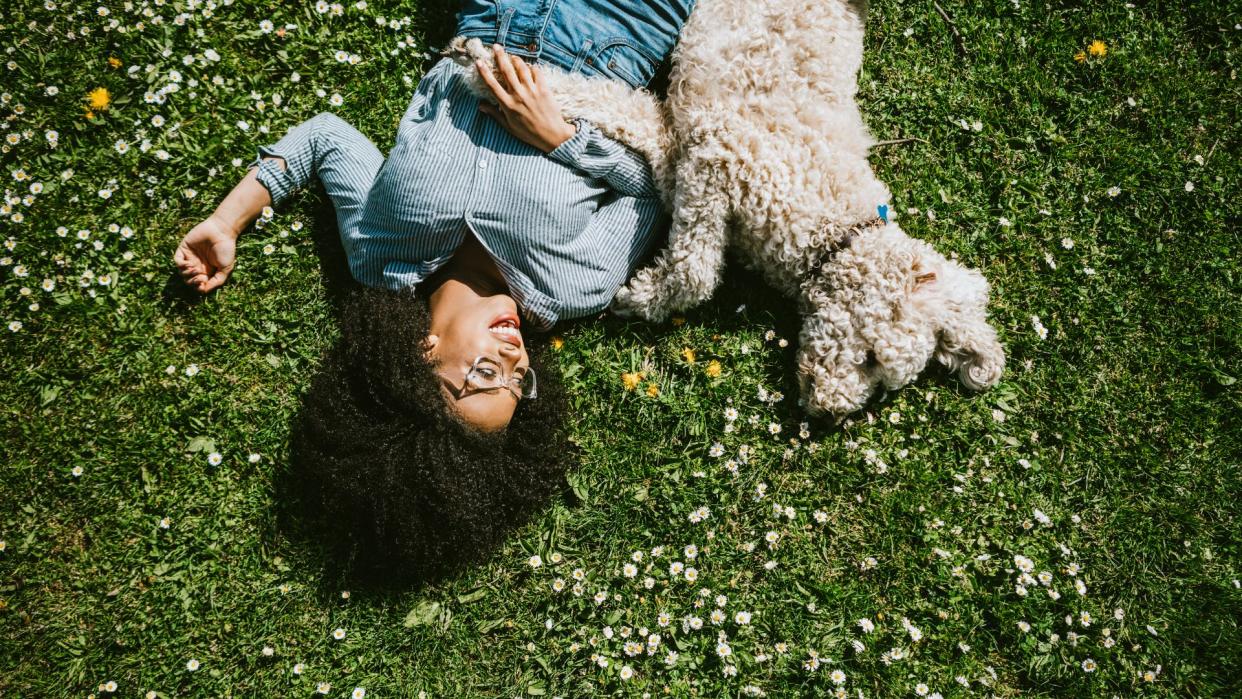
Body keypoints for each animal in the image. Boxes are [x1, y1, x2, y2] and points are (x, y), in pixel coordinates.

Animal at [611, 0, 1008, 414]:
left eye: (882, 382)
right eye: (871, 358)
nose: (830, 414)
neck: (832, 224)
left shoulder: (694, 156)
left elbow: (647, 132)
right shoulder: (719, 155)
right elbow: (695, 273)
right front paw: (641, 297)